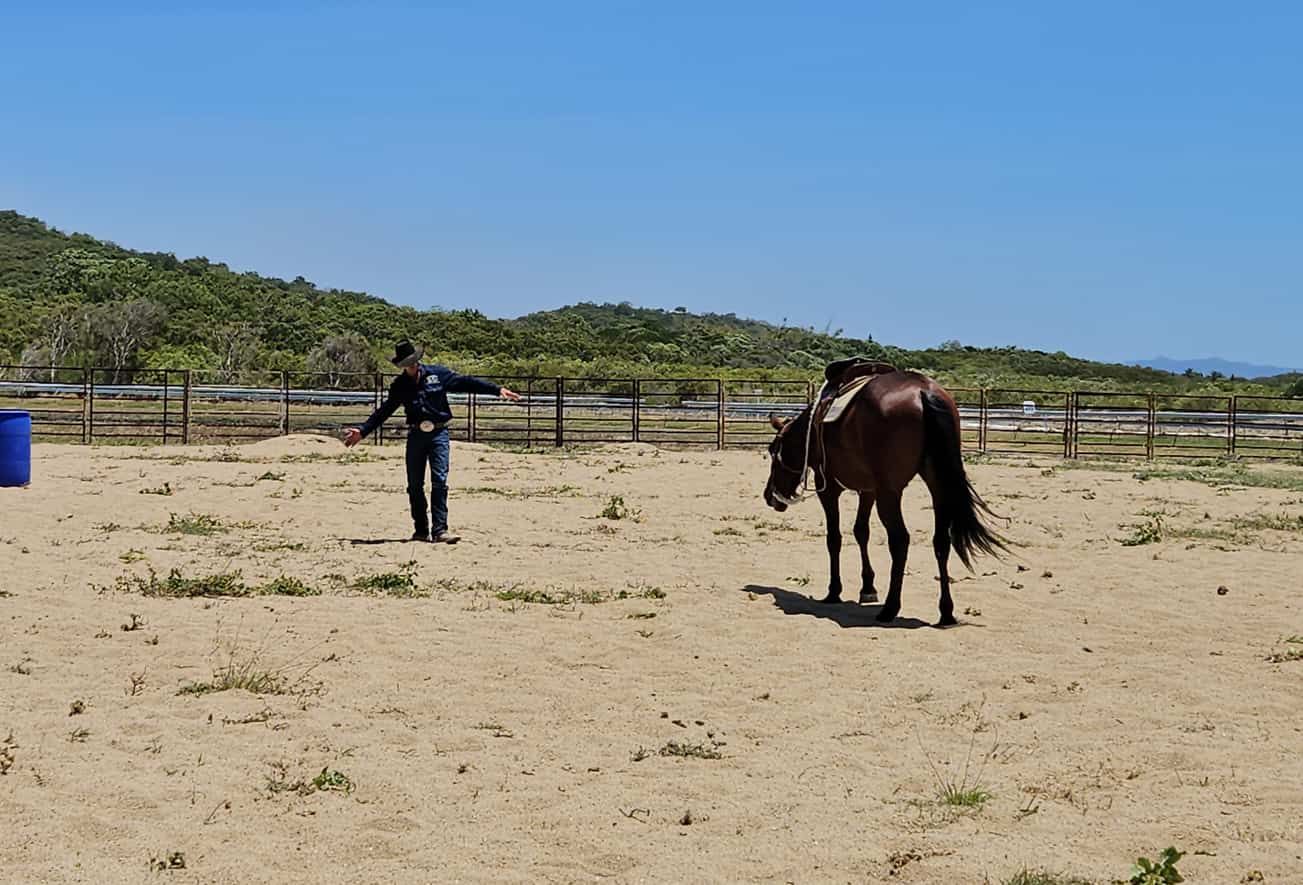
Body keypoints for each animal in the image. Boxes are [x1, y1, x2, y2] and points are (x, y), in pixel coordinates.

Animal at [763, 365, 1006, 626]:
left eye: (773, 451)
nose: (769, 496)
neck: (814, 428)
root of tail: (924, 392)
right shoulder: (869, 489)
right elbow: (861, 532)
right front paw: (867, 587)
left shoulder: (828, 488)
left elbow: (834, 538)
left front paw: (834, 591)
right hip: (937, 485)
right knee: (941, 541)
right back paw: (946, 612)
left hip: (890, 493)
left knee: (900, 540)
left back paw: (890, 608)